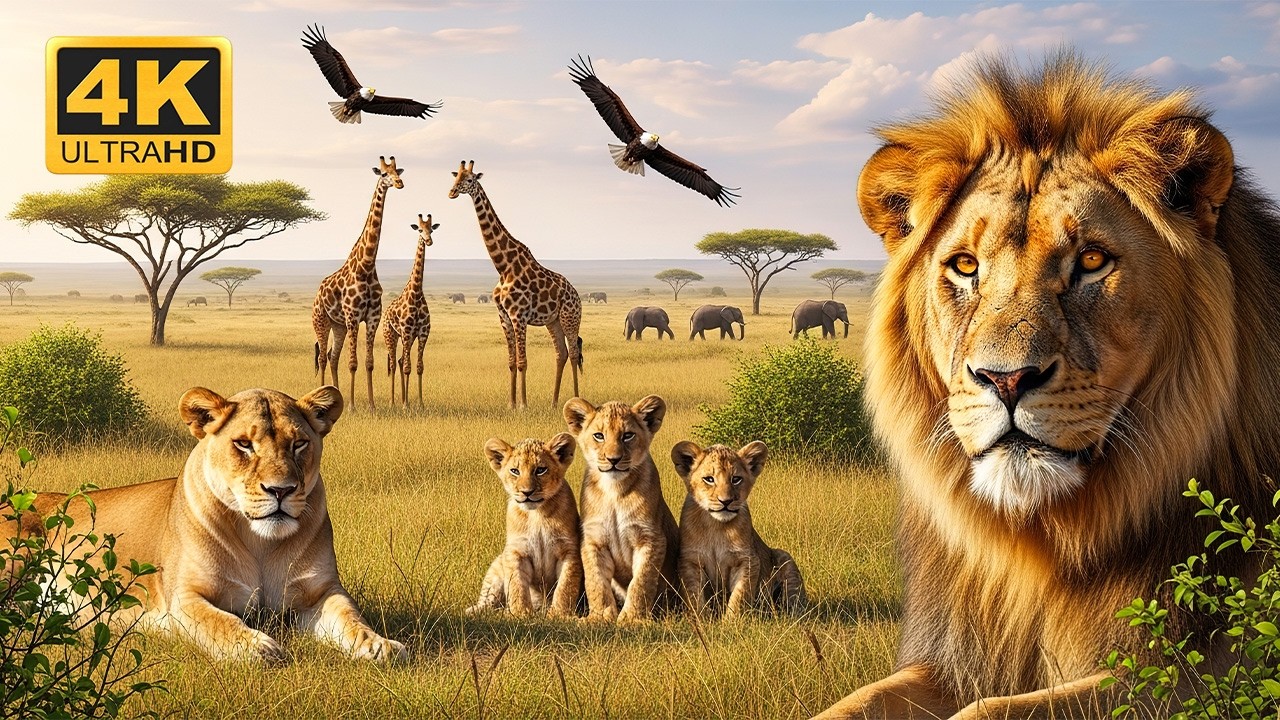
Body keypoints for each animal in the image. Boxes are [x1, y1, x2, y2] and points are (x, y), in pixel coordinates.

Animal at [312, 155, 405, 411]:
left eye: (398, 171)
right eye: (383, 174)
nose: (399, 183)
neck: (366, 266)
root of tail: (317, 293)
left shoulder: (372, 317)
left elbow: (369, 362)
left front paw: (372, 405)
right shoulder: (354, 316)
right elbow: (352, 362)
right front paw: (353, 406)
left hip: (339, 325)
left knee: (333, 356)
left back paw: (335, 394)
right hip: (321, 320)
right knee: (322, 357)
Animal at [383, 213, 436, 408]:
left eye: (432, 229)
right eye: (420, 229)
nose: (428, 241)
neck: (416, 293)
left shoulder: (422, 332)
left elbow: (419, 367)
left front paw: (419, 403)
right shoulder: (406, 331)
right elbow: (407, 367)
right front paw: (405, 406)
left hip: (408, 337)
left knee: (399, 360)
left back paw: (402, 399)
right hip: (390, 334)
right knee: (393, 363)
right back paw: (392, 402)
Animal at [447, 160, 583, 409]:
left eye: (469, 179)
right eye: (455, 177)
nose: (451, 192)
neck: (503, 267)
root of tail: (577, 295)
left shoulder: (518, 315)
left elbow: (522, 362)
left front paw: (523, 405)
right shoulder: (503, 316)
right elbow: (511, 361)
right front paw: (510, 404)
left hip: (570, 317)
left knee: (574, 353)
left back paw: (576, 400)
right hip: (553, 321)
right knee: (561, 353)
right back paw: (554, 402)